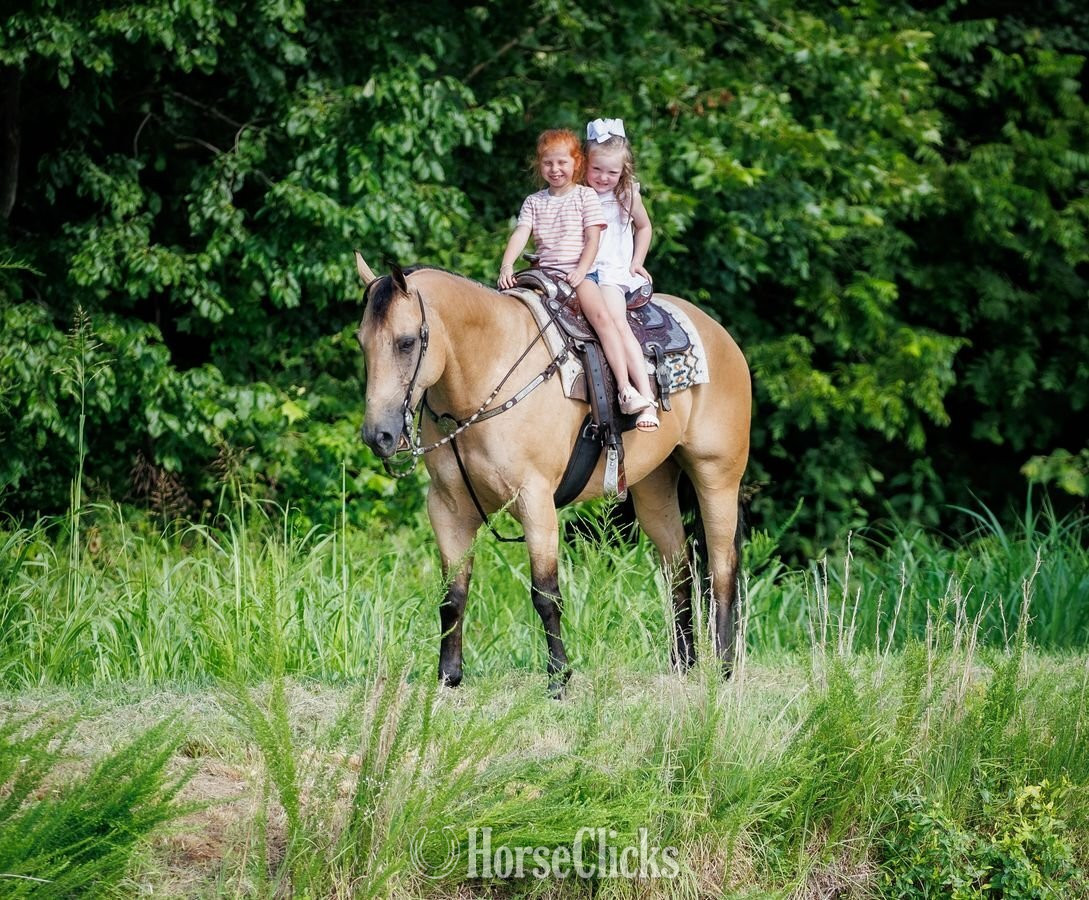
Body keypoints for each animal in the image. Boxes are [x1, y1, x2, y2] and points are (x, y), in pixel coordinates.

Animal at [354, 253, 750, 693]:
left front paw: (559, 678)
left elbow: (546, 594)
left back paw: (725, 669)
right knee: (679, 569)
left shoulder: (536, 500)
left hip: (717, 477)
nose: (378, 436)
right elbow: (452, 595)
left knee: (721, 568)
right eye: (362, 341)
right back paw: (684, 664)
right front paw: (448, 677)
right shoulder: (447, 508)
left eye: (406, 342)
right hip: (654, 488)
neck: (488, 372)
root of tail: (721, 336)